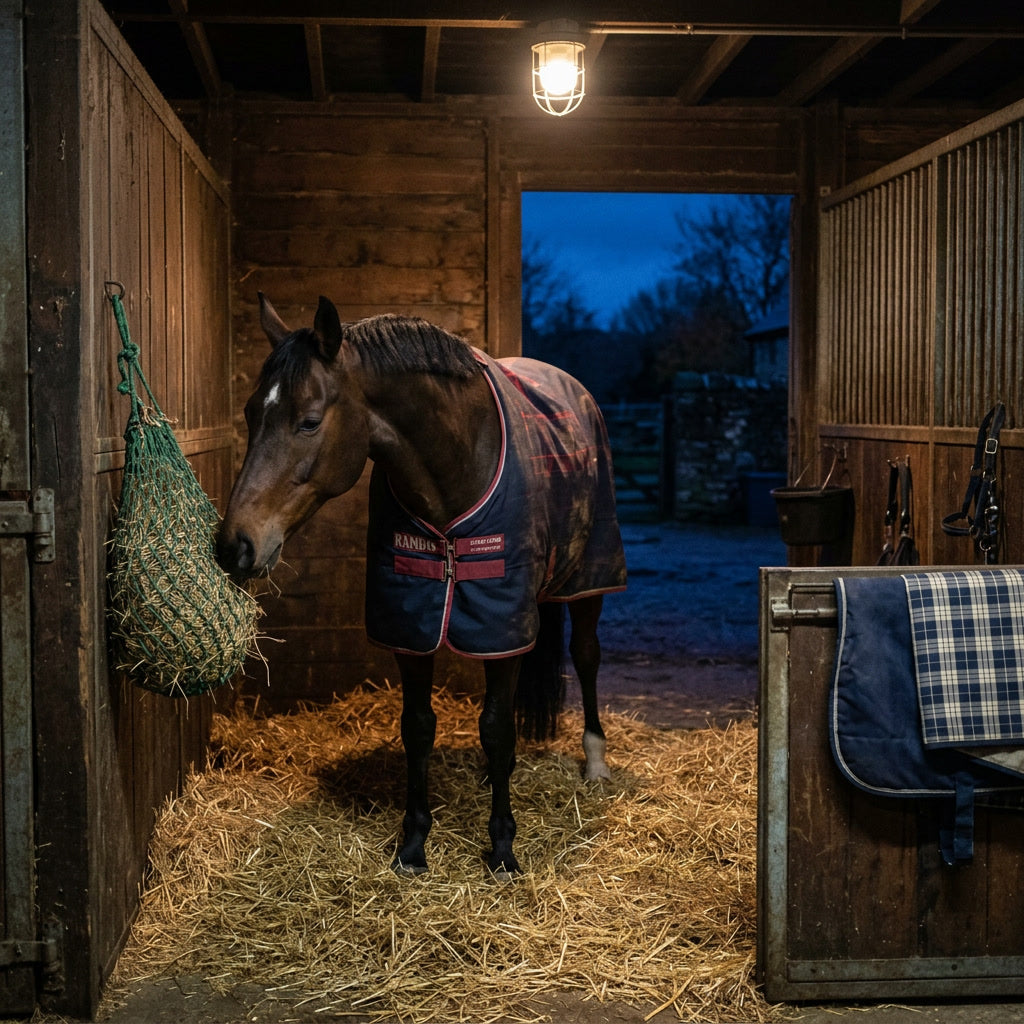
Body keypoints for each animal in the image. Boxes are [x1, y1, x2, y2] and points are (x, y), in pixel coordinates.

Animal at [218, 294, 627, 878]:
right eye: (252, 412)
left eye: (309, 421)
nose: (235, 546)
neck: (458, 461)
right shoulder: (412, 623)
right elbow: (419, 727)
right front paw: (413, 845)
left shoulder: (503, 623)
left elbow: (497, 726)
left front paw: (502, 848)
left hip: (590, 579)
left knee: (587, 654)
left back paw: (594, 763)